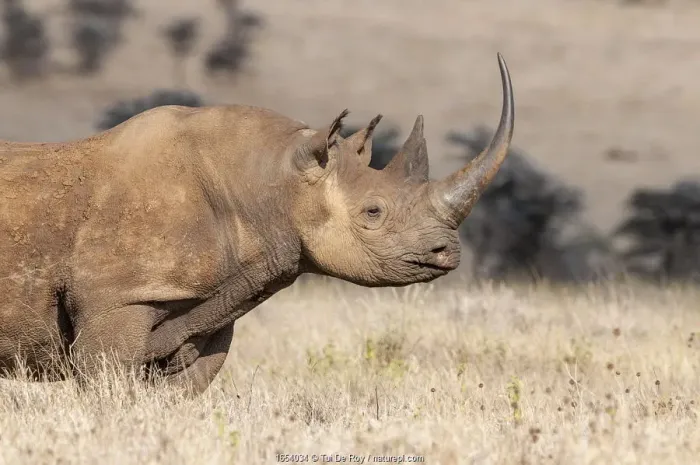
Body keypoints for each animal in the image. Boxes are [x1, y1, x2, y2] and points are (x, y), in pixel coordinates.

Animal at [0, 54, 514, 395]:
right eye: (373, 212)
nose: (447, 252)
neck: (270, 184)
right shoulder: (117, 297)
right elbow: (106, 385)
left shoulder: (212, 305)